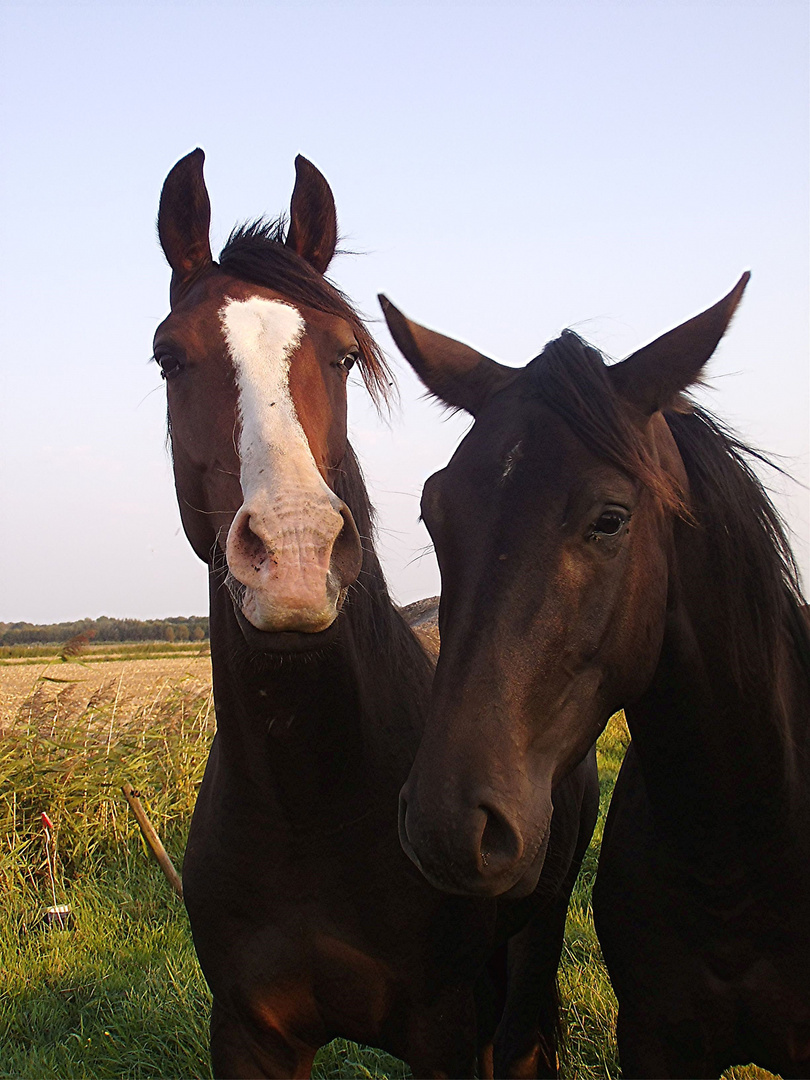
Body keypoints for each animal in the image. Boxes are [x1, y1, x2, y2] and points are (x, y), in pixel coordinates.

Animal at [152, 147, 596, 1075]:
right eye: (168, 357)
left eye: (346, 355)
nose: (294, 555)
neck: (309, 802)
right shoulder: (246, 1032)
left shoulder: (446, 1027)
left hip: (534, 941)